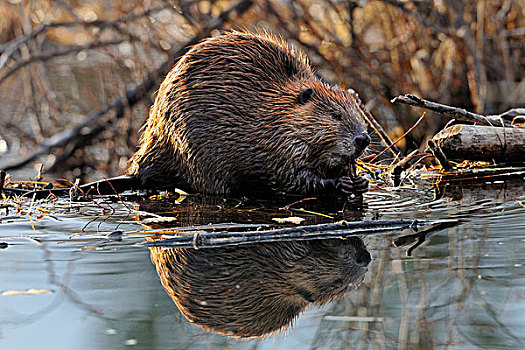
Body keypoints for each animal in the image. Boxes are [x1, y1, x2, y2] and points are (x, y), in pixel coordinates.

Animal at [127, 31, 370, 197]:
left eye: (359, 115)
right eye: (335, 115)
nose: (363, 139)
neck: (276, 113)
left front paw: (359, 181)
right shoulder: (276, 147)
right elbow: (291, 178)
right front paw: (340, 183)